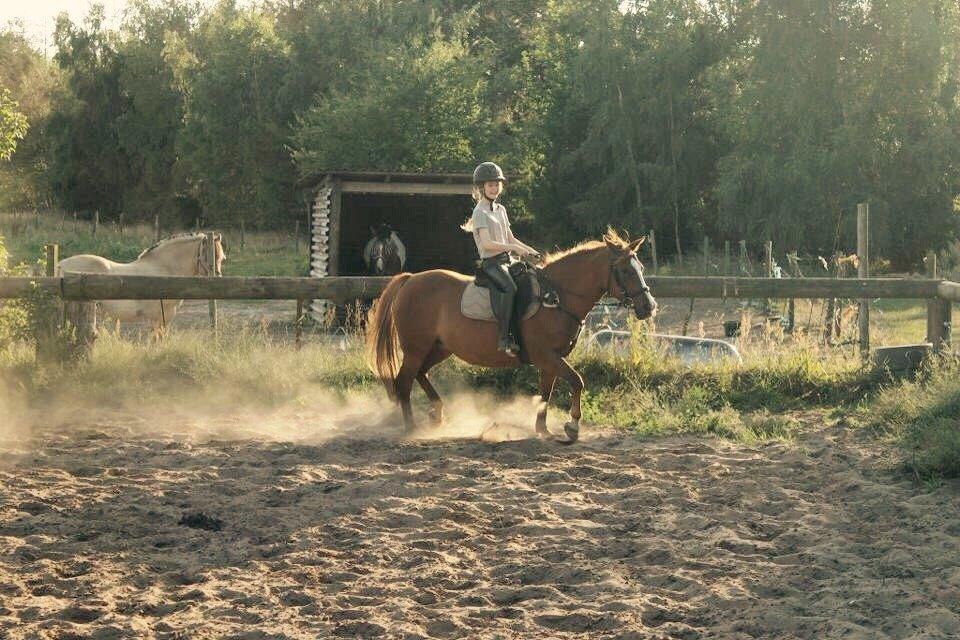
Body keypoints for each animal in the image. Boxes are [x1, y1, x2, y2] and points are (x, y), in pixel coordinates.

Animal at [58, 231, 227, 330]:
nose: (218, 280)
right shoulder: (158, 318)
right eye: (210, 258)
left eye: (222, 258)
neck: (165, 269)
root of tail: (60, 264)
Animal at [364, 230, 656, 444]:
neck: (557, 296)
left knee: (420, 374)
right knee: (404, 381)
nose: (649, 306)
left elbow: (546, 392)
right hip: (416, 348)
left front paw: (542, 430)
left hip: (438, 348)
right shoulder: (546, 355)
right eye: (626, 271)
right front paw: (572, 427)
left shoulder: (550, 360)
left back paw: (437, 413)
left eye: (641, 267)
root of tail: (410, 280)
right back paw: (412, 427)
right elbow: (577, 382)